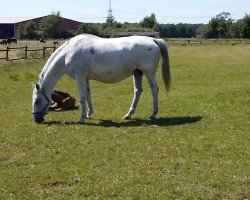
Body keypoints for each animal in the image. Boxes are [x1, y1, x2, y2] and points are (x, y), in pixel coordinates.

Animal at [31, 34, 170, 123]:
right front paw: (88, 114)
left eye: (37, 101)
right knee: (138, 91)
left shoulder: (79, 77)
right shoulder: (85, 78)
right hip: (137, 73)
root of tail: (153, 40)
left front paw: (81, 119)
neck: (68, 53)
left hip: (149, 73)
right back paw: (128, 115)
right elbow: (88, 95)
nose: (36, 119)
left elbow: (82, 97)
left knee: (154, 90)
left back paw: (153, 114)